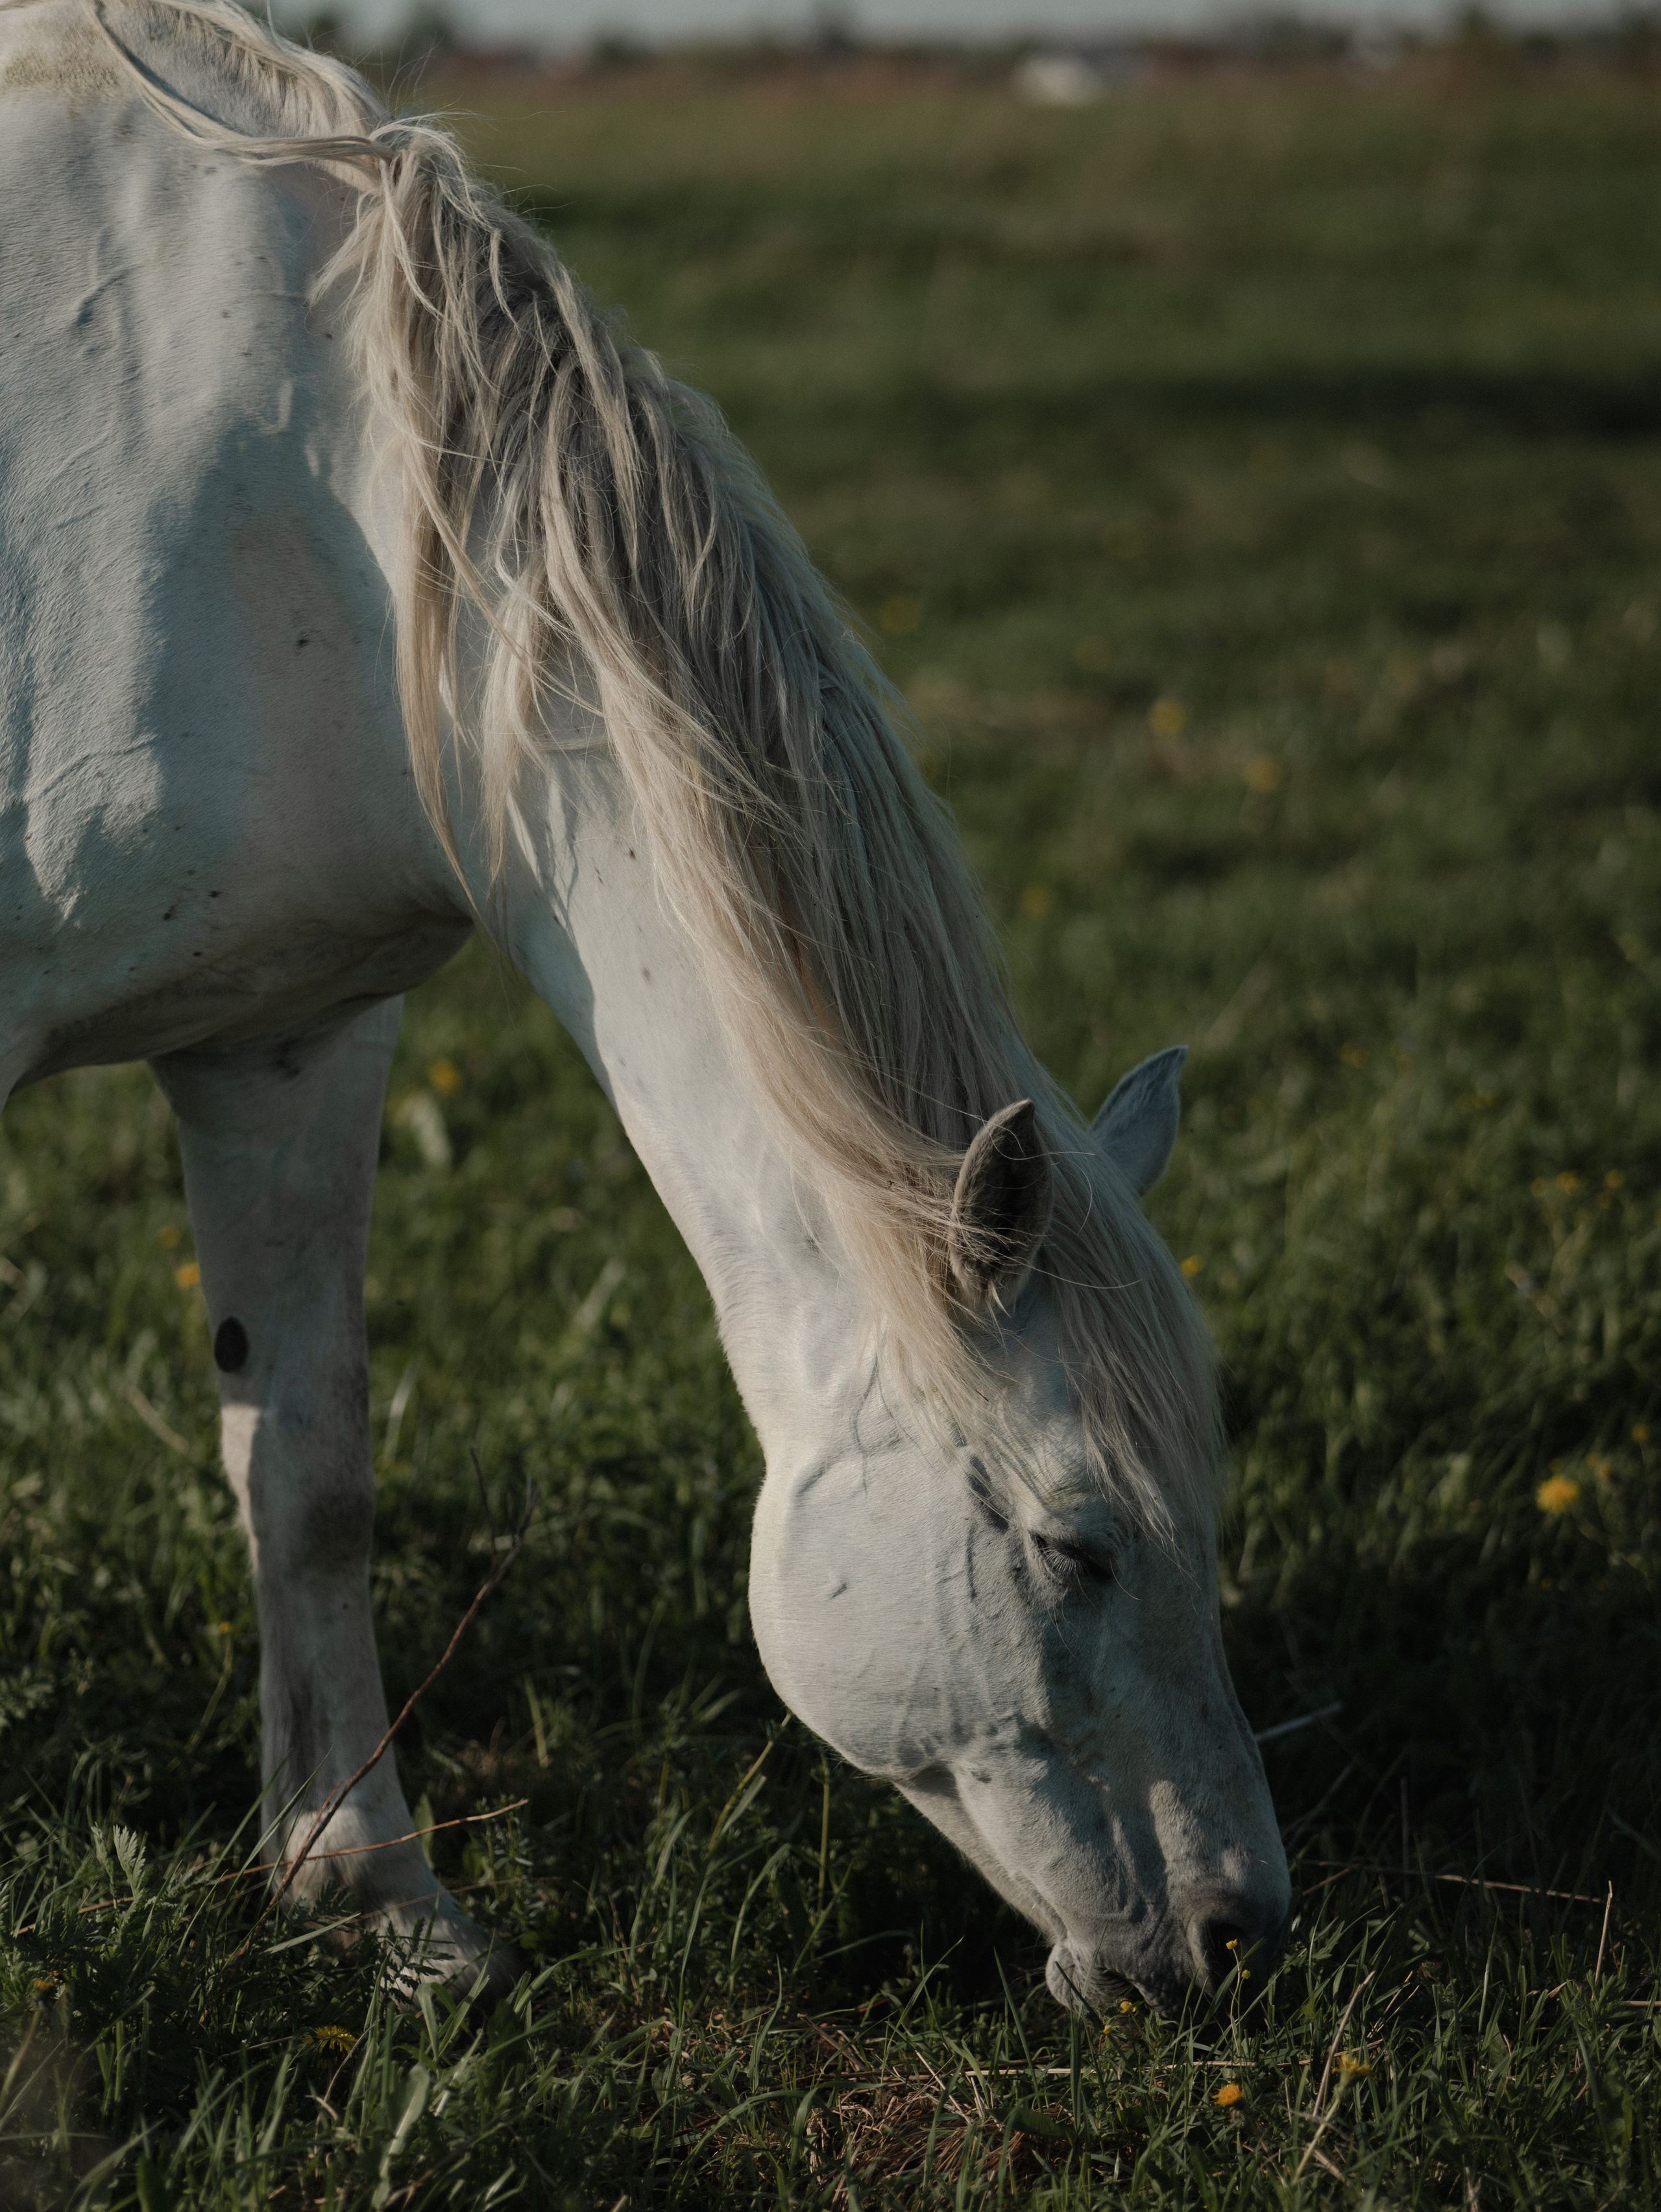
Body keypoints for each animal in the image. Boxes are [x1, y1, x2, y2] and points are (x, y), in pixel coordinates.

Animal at [0, 0, 1290, 2012]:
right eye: (1077, 1547)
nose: (1244, 1933)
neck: (275, 492)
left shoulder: (286, 1043)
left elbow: (309, 1476)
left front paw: (379, 1902)